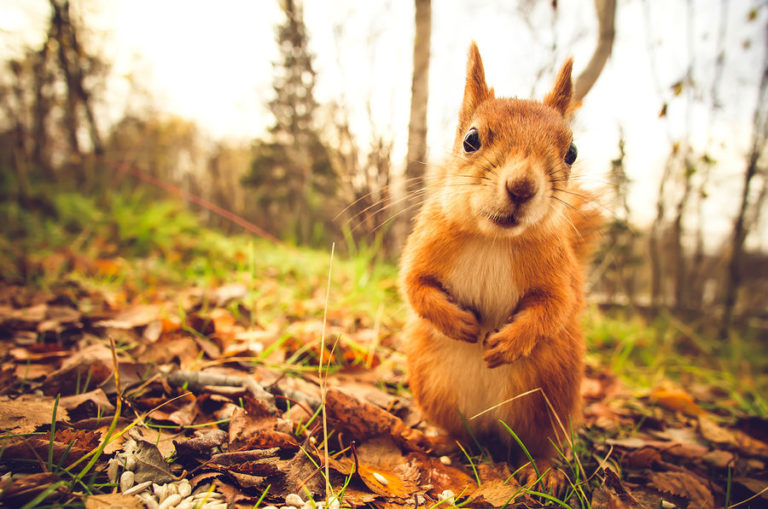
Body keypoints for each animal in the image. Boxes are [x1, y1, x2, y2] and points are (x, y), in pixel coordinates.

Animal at [400, 42, 602, 485]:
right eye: (471, 139)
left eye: (572, 153)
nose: (522, 186)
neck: (493, 239)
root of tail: (490, 429)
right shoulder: (424, 246)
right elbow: (415, 286)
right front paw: (458, 322)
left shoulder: (559, 274)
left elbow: (554, 307)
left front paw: (509, 342)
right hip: (432, 382)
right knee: (461, 433)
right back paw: (442, 442)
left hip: (549, 395)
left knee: (540, 442)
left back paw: (542, 468)